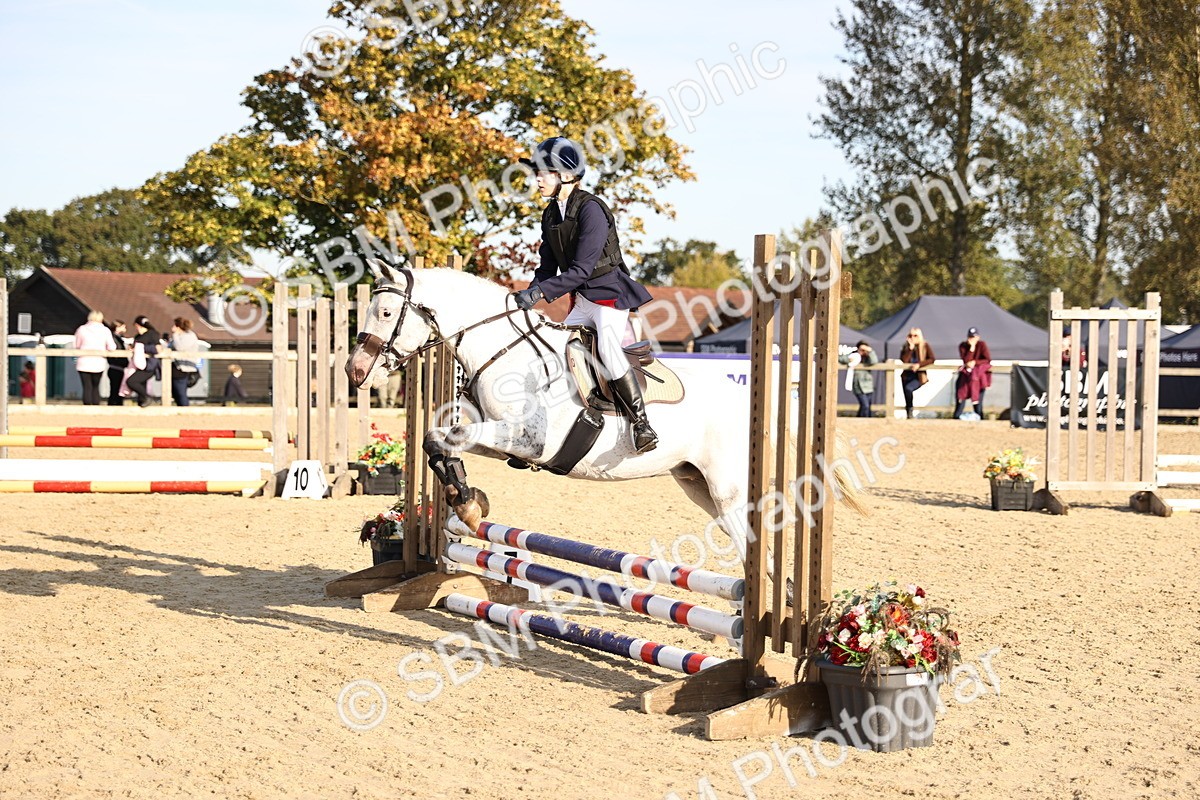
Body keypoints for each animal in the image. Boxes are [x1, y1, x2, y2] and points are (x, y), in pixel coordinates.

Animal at [345, 261, 860, 569]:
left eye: (387, 312)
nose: (355, 371)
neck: (504, 351)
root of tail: (744, 401)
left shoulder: (528, 439)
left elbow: (440, 438)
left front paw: (468, 503)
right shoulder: (497, 439)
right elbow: (437, 438)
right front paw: (468, 501)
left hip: (727, 489)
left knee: (754, 541)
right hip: (696, 484)